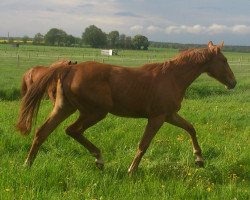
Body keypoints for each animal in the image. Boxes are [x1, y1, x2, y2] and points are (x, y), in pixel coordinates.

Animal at [16, 41, 236, 174]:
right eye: (224, 60)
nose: (233, 83)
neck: (172, 77)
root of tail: (69, 68)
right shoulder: (157, 117)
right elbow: (144, 144)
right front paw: (132, 170)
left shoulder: (170, 115)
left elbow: (190, 128)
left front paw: (199, 159)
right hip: (94, 112)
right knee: (71, 130)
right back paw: (99, 159)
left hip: (64, 108)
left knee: (42, 132)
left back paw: (28, 164)